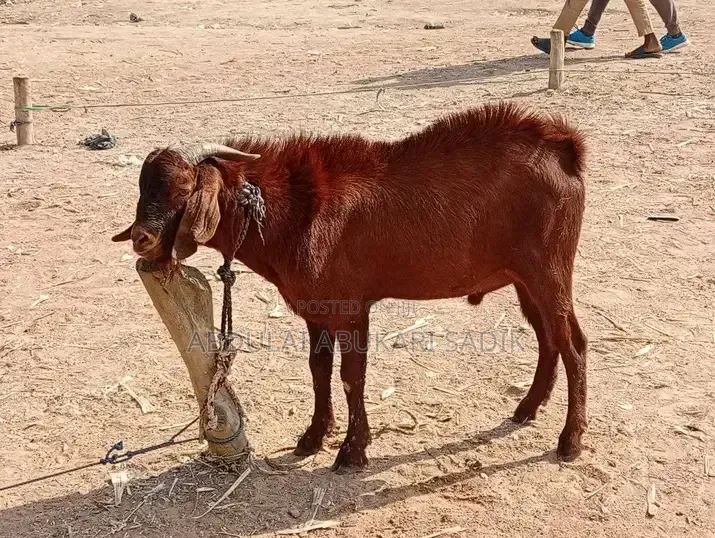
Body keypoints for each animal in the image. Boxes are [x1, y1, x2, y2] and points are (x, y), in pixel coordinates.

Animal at [112, 102, 588, 471]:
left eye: (184, 189)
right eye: (142, 188)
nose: (142, 238)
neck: (293, 213)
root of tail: (562, 147)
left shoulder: (351, 308)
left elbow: (350, 376)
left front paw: (353, 451)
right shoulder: (315, 310)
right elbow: (319, 370)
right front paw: (312, 437)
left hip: (548, 270)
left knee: (573, 344)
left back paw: (571, 440)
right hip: (523, 279)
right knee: (548, 338)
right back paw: (526, 409)